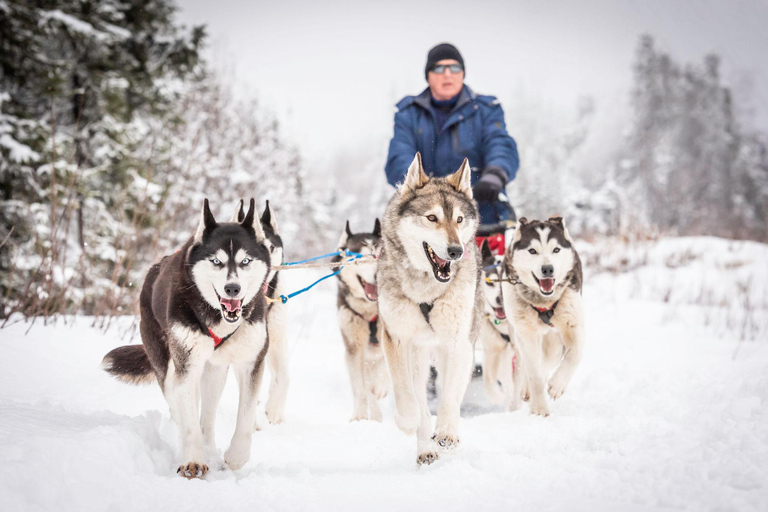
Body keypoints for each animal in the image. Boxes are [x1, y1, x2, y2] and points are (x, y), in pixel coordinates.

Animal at [376, 152, 480, 464]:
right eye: (432, 218)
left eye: (459, 219)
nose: (456, 251)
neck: (427, 289)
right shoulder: (397, 338)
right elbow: (406, 393)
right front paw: (409, 421)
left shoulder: (459, 342)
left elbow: (450, 395)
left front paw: (446, 431)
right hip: (418, 355)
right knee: (418, 395)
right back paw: (425, 446)